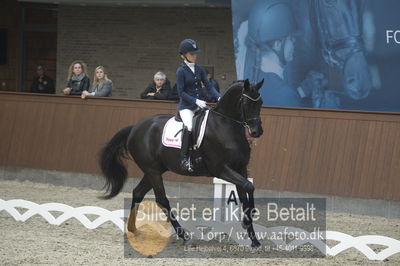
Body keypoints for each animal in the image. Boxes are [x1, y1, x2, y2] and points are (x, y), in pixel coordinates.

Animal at [99, 79, 264, 247]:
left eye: (260, 103)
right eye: (246, 103)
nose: (256, 132)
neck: (224, 125)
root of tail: (135, 128)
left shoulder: (240, 168)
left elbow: (246, 193)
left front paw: (253, 238)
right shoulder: (221, 169)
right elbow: (249, 187)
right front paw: (247, 223)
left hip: (154, 170)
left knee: (138, 193)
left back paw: (132, 229)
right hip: (152, 171)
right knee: (162, 199)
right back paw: (184, 236)